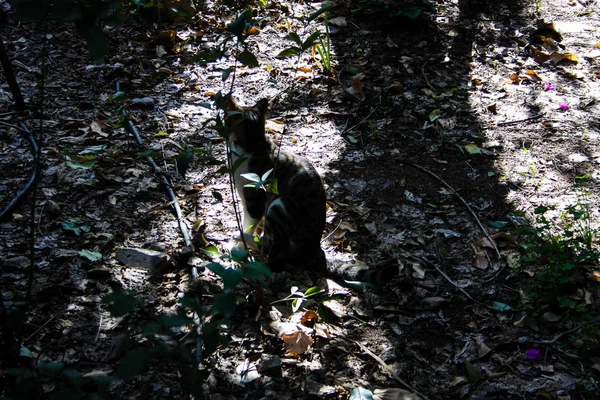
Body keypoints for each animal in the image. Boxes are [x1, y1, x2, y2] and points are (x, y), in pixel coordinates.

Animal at [226, 97, 328, 272]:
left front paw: (240, 247)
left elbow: (249, 223)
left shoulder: (254, 199)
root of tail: (313, 249)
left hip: (281, 205)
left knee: (271, 247)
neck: (254, 142)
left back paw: (239, 236)